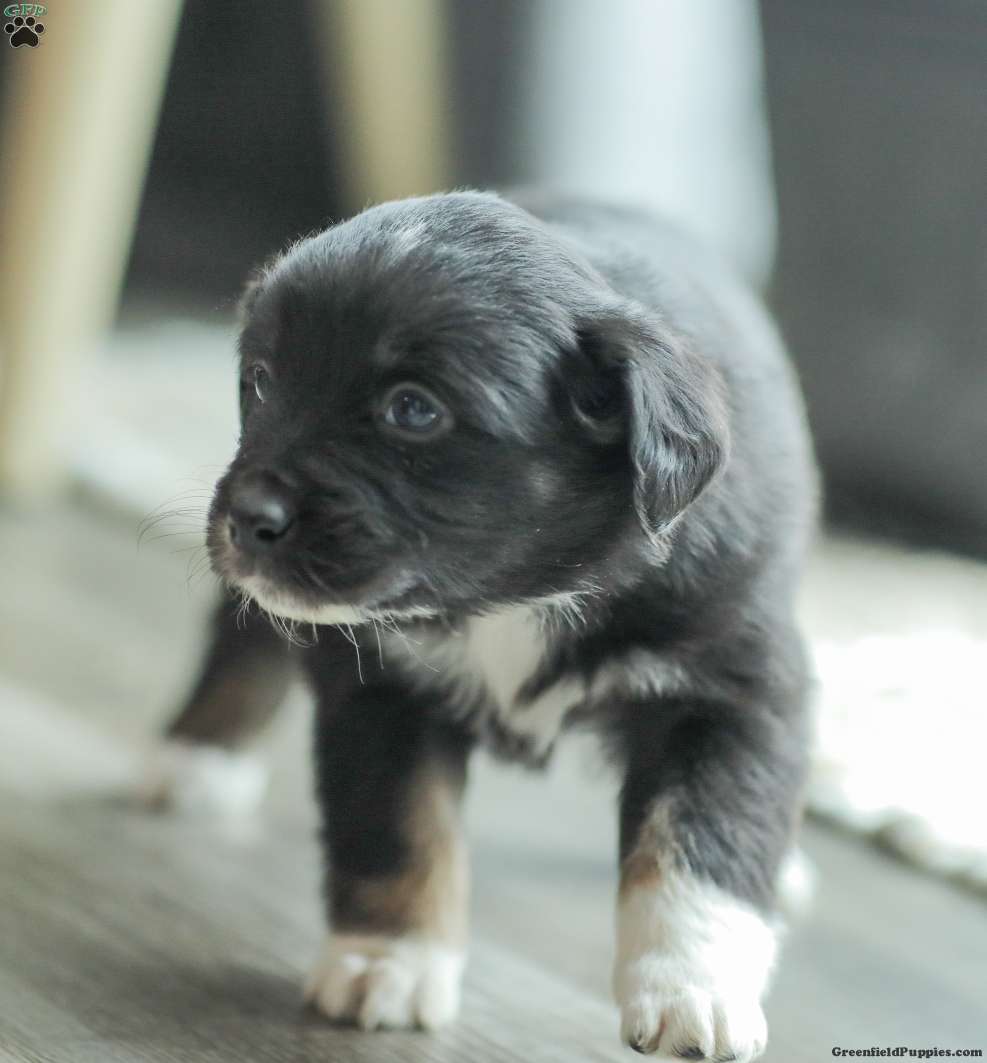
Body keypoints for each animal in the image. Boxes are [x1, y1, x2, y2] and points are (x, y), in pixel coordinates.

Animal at [149, 190, 817, 1060]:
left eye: (412, 409)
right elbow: (398, 828)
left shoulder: (731, 688)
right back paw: (194, 755)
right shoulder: (383, 686)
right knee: (244, 644)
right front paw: (389, 962)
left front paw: (691, 989)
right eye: (258, 383)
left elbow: (702, 842)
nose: (245, 517)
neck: (512, 594)